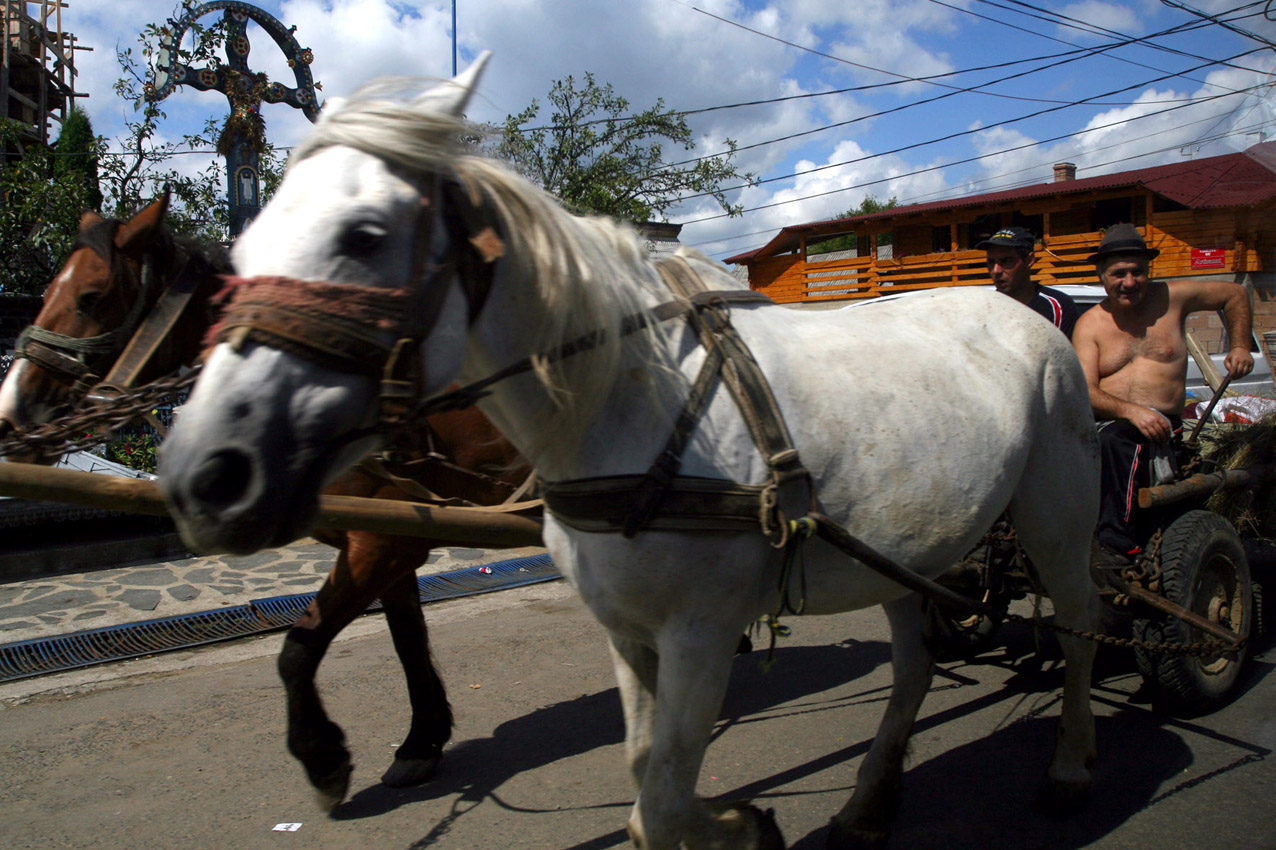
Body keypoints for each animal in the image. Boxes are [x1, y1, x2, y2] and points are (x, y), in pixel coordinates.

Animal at [0, 193, 530, 806]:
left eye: (91, 298)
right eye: (46, 293)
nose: (11, 412)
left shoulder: (381, 542)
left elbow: (298, 648)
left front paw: (324, 760)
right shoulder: (397, 537)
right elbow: (407, 641)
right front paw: (420, 744)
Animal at [156, 54, 1097, 847]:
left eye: (364, 234)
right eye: (238, 252)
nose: (207, 474)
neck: (625, 406)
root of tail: (1024, 312)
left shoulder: (700, 633)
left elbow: (666, 797)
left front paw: (742, 825)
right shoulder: (627, 632)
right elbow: (646, 776)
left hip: (1056, 518)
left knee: (1081, 624)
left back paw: (1069, 767)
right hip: (906, 552)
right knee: (913, 664)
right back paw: (868, 803)